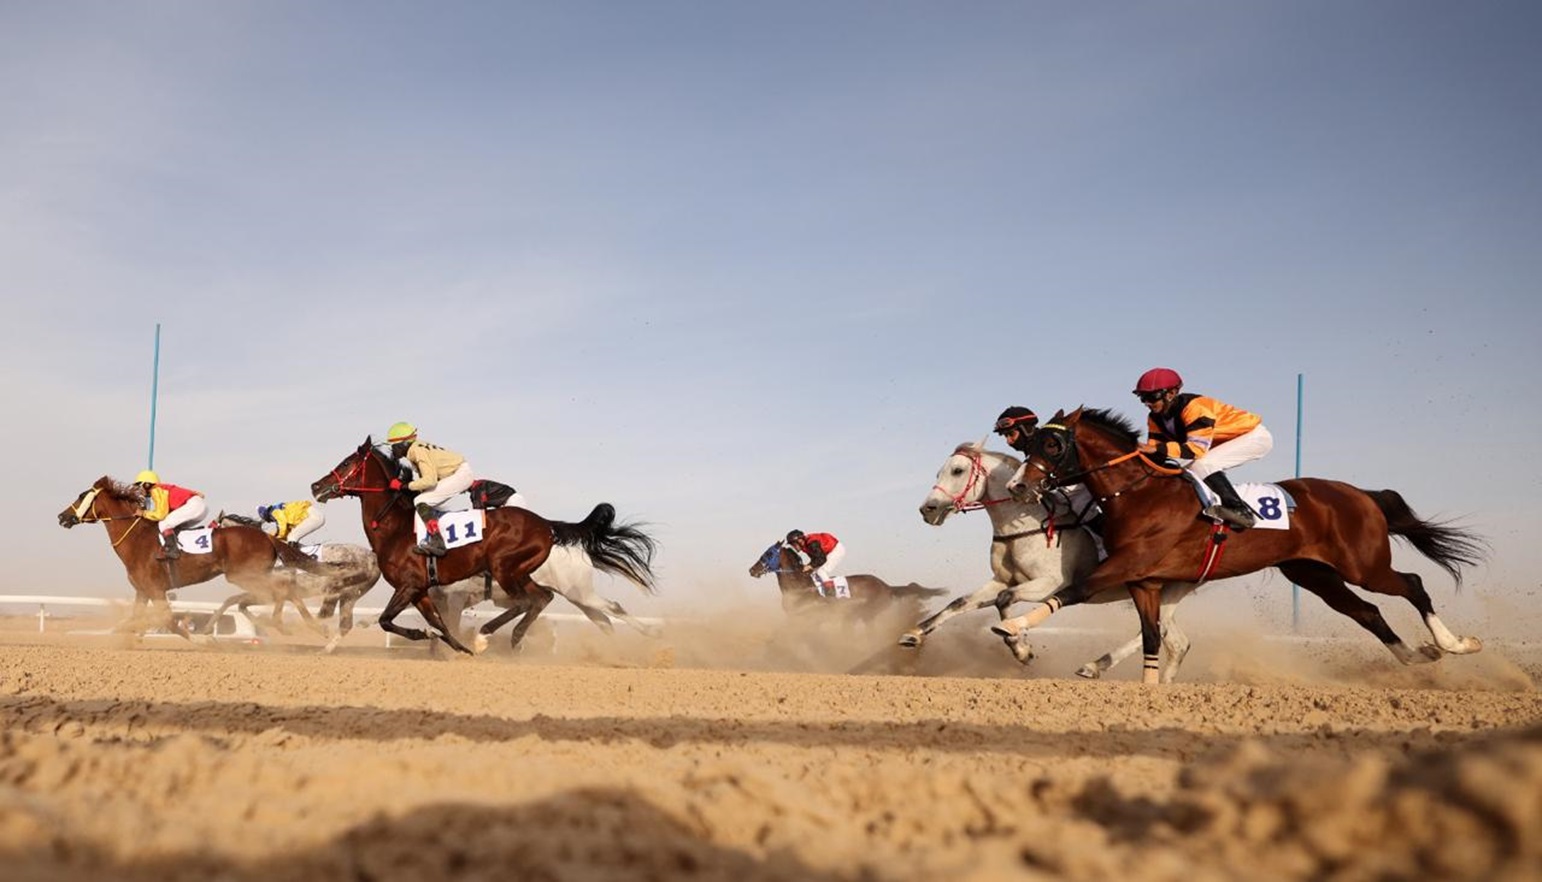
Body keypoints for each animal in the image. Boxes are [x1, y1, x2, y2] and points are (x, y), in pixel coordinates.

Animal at [57, 478, 334, 638]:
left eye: (81, 496)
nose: (62, 516)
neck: (137, 539)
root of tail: (267, 536)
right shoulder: (143, 591)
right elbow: (133, 620)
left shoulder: (156, 590)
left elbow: (169, 621)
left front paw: (195, 637)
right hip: (253, 575)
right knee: (284, 588)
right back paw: (307, 626)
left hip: (244, 575)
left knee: (281, 588)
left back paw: (290, 624)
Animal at [309, 437, 653, 653]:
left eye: (347, 462)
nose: (316, 485)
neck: (397, 528)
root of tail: (547, 524)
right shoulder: (422, 591)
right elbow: (439, 626)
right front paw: (455, 648)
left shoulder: (414, 586)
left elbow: (387, 620)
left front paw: (436, 640)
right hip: (552, 586)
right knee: (579, 612)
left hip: (518, 572)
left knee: (546, 601)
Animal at [912, 441, 1190, 681]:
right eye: (939, 472)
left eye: (957, 470)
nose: (928, 509)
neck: (1025, 525)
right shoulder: (1002, 580)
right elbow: (961, 602)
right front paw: (914, 634)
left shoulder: (1050, 583)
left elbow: (1005, 600)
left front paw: (1021, 649)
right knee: (1177, 642)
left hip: (1171, 587)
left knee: (1158, 631)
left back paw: (1095, 666)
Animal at [993, 407, 1486, 681]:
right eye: (1029, 446)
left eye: (1052, 445)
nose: (1019, 486)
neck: (1137, 494)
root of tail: (1361, 494)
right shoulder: (1145, 580)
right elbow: (1151, 634)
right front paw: (1147, 688)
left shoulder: (1126, 565)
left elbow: (1071, 590)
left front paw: (1013, 630)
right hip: (1314, 574)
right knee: (1367, 612)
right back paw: (1418, 657)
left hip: (1363, 565)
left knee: (1413, 583)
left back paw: (1456, 644)